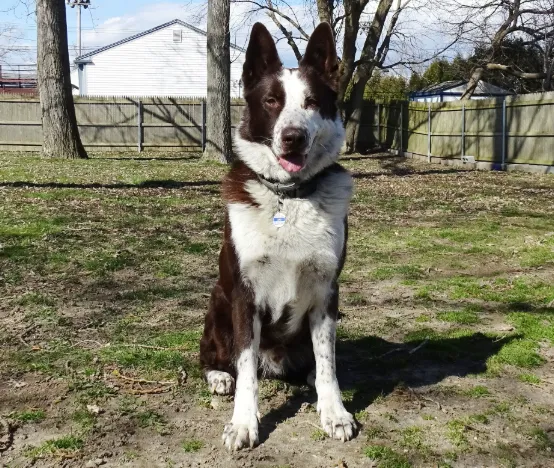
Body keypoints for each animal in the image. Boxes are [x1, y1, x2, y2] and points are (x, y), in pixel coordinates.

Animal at [198, 21, 354, 450]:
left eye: (312, 102)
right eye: (271, 101)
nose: (293, 136)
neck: (289, 196)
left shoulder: (327, 290)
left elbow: (329, 362)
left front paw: (334, 412)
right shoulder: (244, 293)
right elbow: (246, 366)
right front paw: (243, 423)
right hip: (217, 306)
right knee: (212, 358)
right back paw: (220, 377)